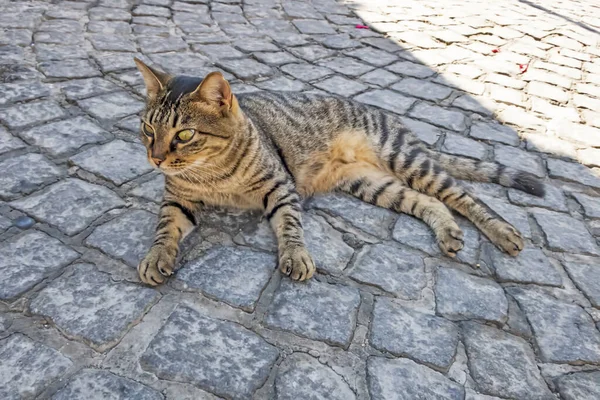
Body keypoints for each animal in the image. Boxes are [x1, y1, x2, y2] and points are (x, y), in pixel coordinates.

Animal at [134, 57, 548, 286]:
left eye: (184, 135)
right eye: (148, 129)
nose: (155, 159)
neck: (212, 174)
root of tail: (393, 119)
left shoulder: (280, 187)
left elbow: (290, 224)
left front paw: (296, 254)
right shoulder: (177, 199)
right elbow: (165, 228)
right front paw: (156, 256)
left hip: (404, 158)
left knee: (461, 195)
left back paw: (503, 232)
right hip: (374, 184)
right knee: (431, 202)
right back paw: (448, 232)